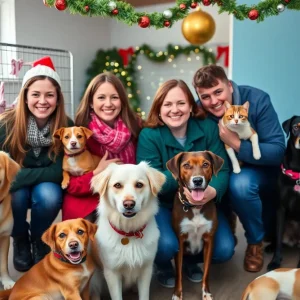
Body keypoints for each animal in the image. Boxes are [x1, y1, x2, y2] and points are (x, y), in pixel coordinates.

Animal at [90, 162, 166, 300]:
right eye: (117, 185)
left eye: (139, 184)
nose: (129, 204)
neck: (129, 232)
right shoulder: (112, 273)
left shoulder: (146, 269)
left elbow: (144, 295)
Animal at [168, 151, 224, 300]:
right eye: (186, 165)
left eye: (205, 164)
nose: (197, 180)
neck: (195, 207)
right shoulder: (179, 241)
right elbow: (178, 274)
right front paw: (177, 294)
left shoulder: (209, 240)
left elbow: (206, 272)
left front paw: (206, 293)